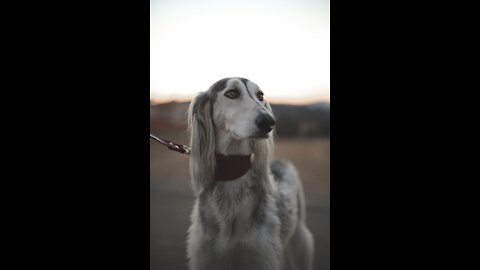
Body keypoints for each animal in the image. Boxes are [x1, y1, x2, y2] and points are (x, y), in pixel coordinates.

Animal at [186, 77, 314, 268]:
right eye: (231, 93)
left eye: (260, 95)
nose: (269, 122)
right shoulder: (207, 256)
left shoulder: (258, 255)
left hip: (299, 236)